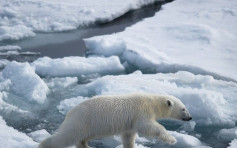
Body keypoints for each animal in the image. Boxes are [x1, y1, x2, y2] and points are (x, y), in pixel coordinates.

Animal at [38, 93, 192, 147]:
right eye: (183, 108)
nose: (190, 117)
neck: (151, 101)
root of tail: (70, 112)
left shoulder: (130, 123)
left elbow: (128, 136)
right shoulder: (141, 112)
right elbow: (148, 126)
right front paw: (172, 139)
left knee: (82, 138)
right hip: (82, 120)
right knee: (66, 136)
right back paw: (44, 145)